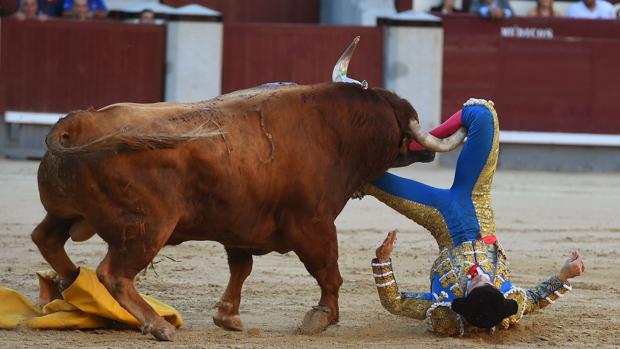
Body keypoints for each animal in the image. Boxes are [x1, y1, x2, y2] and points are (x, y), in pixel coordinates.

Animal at [30, 38, 464, 340]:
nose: (427, 150)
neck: (337, 131)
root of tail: (76, 123)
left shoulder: (239, 226)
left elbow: (242, 268)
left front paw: (229, 317)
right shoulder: (313, 223)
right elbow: (329, 270)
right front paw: (321, 318)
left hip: (66, 212)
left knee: (45, 237)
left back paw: (70, 281)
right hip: (146, 228)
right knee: (115, 273)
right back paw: (158, 325)